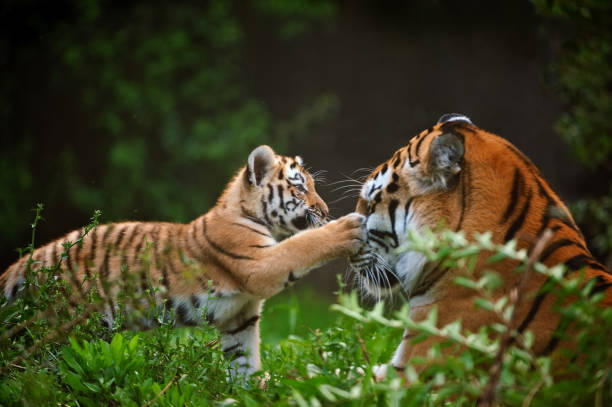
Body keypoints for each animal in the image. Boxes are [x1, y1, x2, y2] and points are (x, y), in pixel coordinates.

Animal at [0, 146, 364, 380]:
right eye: (299, 188)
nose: (326, 211)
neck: (247, 213)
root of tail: (33, 259)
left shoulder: (241, 316)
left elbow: (245, 362)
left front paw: (253, 393)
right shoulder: (258, 264)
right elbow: (303, 245)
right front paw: (346, 227)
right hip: (61, 328)